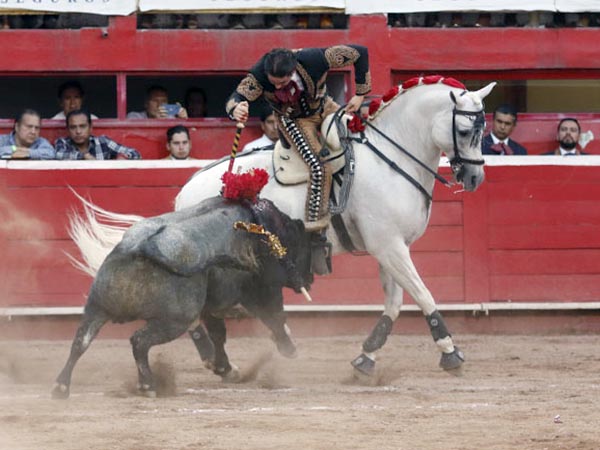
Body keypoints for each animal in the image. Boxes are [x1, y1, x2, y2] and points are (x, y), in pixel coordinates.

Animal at [52, 195, 314, 400]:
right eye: (301, 246)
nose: (309, 279)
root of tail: (142, 248)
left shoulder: (212, 304)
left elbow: (218, 334)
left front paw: (226, 369)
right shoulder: (262, 288)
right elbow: (273, 317)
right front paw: (289, 348)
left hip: (97, 307)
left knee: (81, 341)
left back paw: (61, 387)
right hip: (174, 321)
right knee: (139, 341)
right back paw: (147, 385)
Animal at [75, 76, 494, 376]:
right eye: (464, 131)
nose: (475, 178)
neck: (390, 156)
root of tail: (185, 193)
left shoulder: (389, 247)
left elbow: (395, 301)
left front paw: (367, 357)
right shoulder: (389, 245)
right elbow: (423, 294)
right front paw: (450, 351)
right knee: (195, 313)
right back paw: (223, 357)